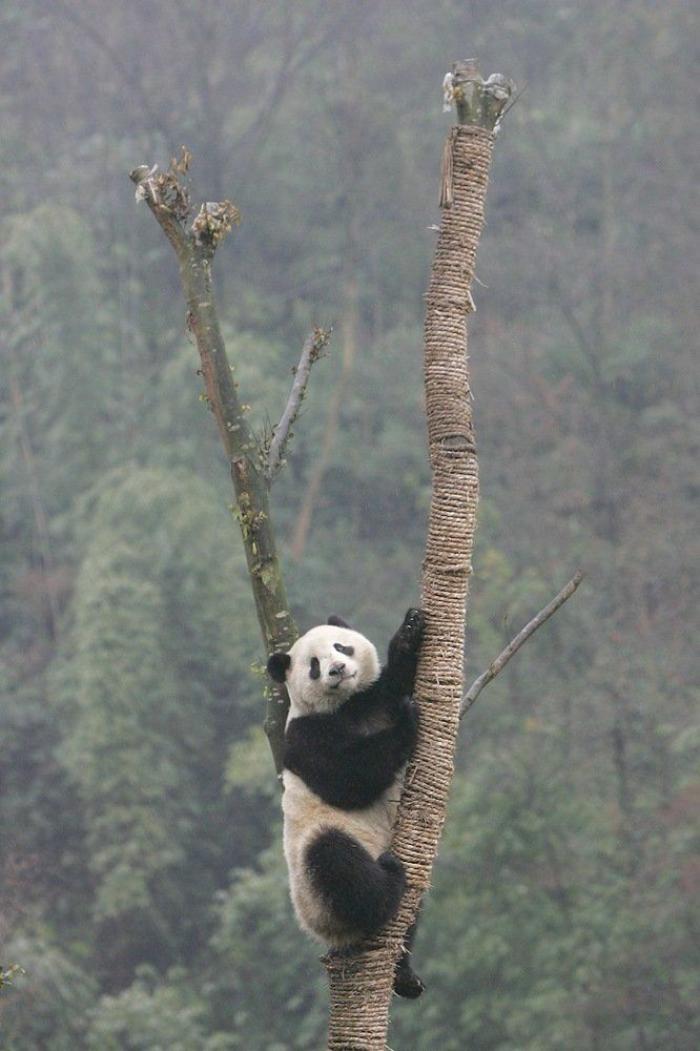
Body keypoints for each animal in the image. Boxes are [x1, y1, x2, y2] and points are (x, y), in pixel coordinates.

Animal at [267, 607, 426, 999]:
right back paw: (388, 881)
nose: (337, 669)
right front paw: (408, 719)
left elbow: (397, 682)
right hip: (316, 886)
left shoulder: (371, 700)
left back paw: (405, 977)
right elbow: (349, 778)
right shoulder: (304, 737)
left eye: (342, 646)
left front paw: (409, 631)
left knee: (411, 916)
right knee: (338, 863)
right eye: (313, 665)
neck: (345, 707)